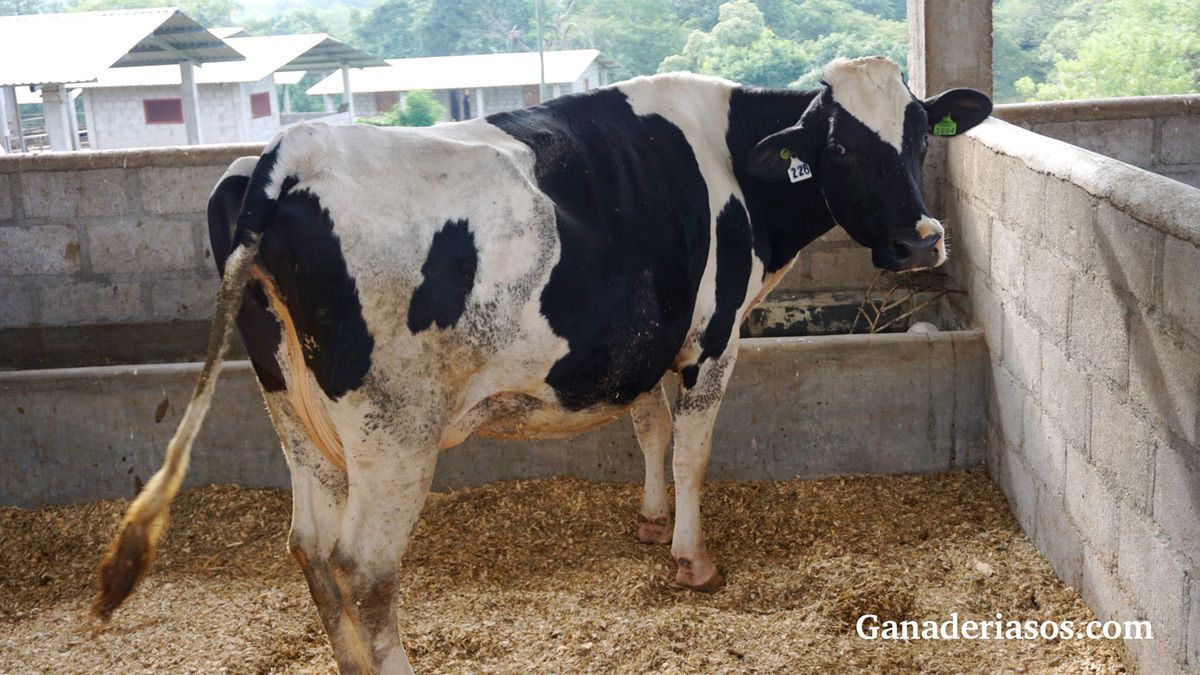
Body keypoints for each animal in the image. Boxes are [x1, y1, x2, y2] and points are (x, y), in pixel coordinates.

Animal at [92, 56, 991, 673]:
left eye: (917, 134)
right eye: (839, 146)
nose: (922, 239)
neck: (733, 160)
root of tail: (286, 151)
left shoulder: (644, 337)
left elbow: (649, 427)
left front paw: (651, 520)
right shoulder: (710, 336)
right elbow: (692, 450)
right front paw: (692, 557)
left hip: (293, 407)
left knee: (310, 547)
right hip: (394, 430)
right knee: (363, 567)